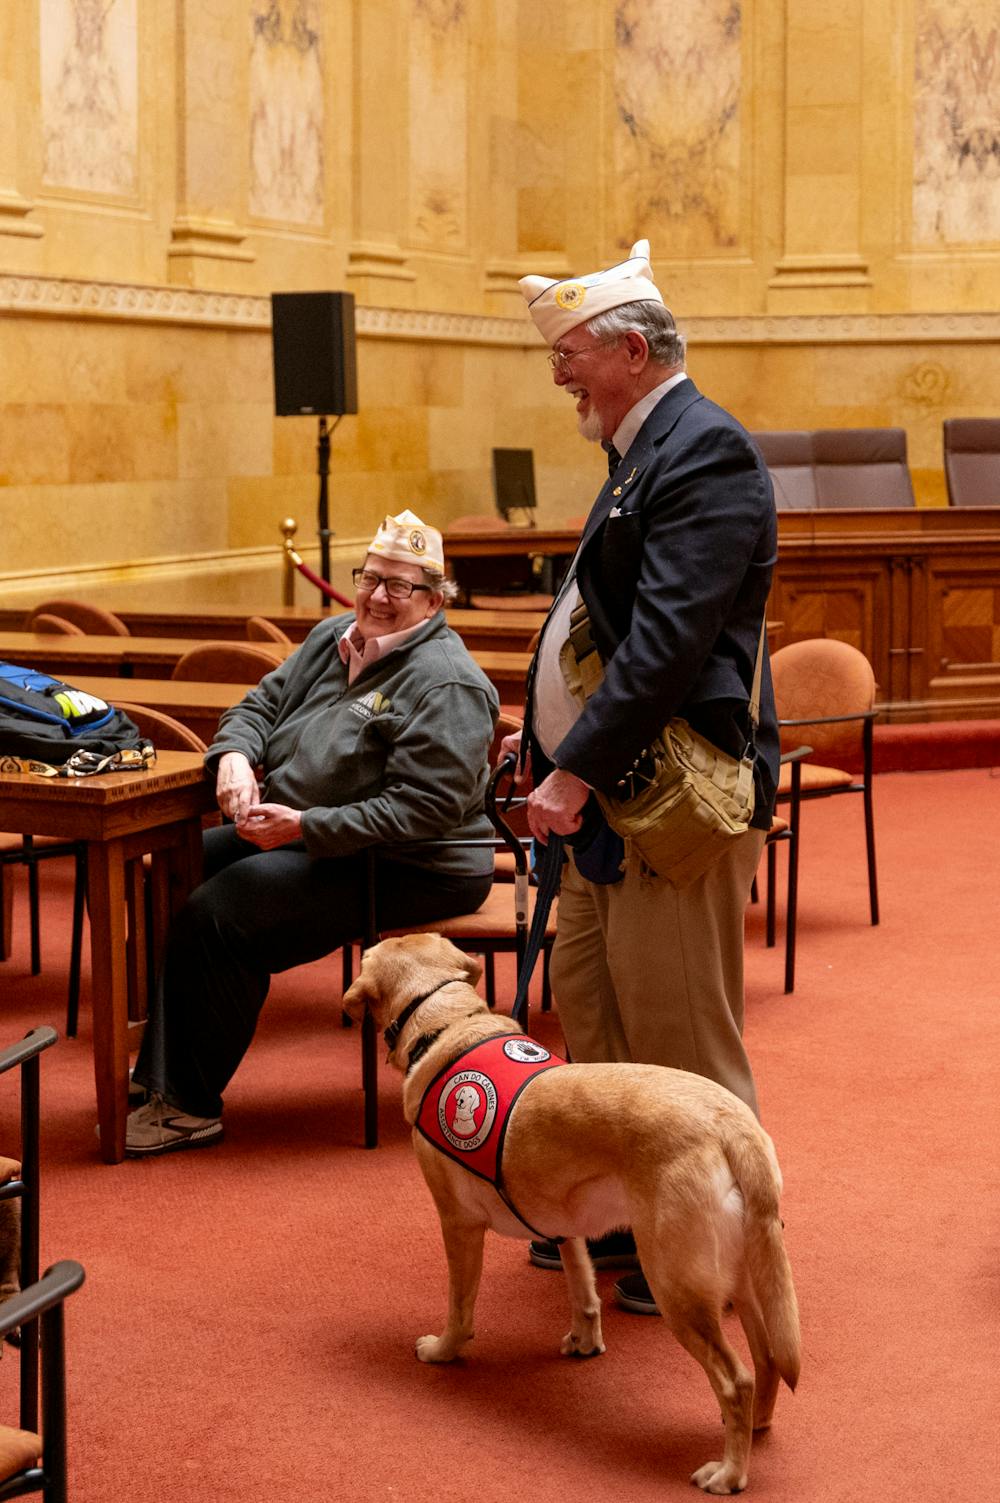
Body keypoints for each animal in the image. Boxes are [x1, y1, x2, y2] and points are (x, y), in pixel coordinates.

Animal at [344, 933, 800, 1495]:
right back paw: (755, 1426)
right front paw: (586, 1341)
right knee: (768, 1360)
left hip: (678, 1287)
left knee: (736, 1379)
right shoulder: (565, 1225)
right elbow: (583, 1291)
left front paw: (445, 1349)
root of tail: (732, 1121)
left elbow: (460, 1305)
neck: (445, 1024)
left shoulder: (457, 1223)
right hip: (746, 1279)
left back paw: (731, 1472)